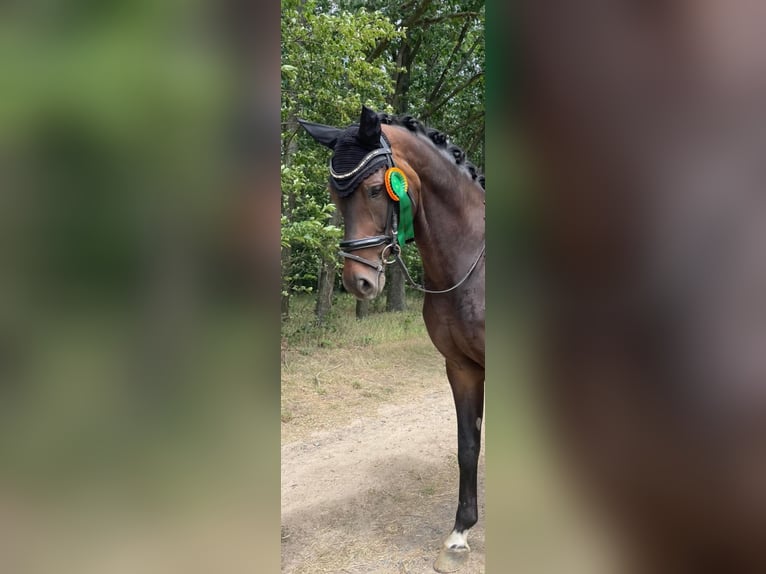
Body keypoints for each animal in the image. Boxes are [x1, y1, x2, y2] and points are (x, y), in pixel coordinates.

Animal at [300, 106, 486, 572]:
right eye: (334, 194)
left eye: (372, 189)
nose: (360, 282)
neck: (471, 265)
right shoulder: (461, 367)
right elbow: (468, 445)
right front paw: (459, 535)